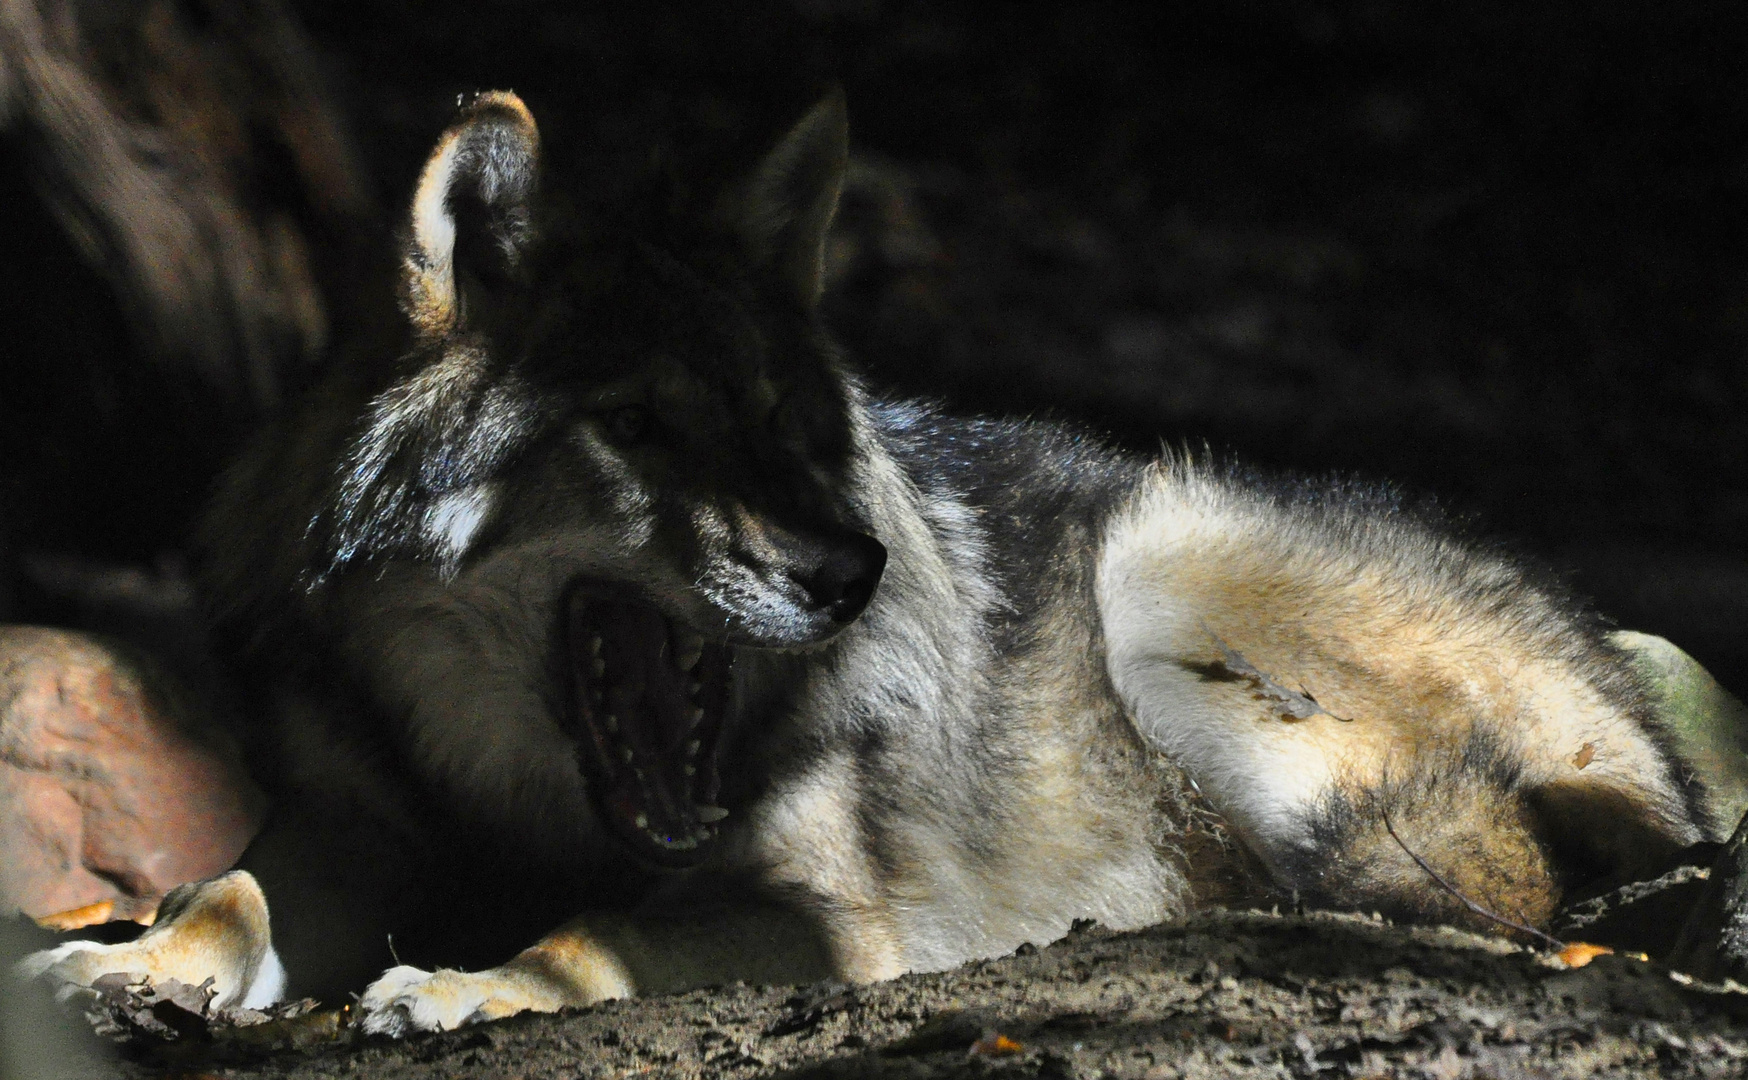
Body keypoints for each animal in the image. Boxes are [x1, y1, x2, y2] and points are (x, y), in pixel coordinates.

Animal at [20, 88, 1741, 1027]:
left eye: (786, 425)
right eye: (637, 428)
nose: (850, 573)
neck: (523, 795)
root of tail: (1633, 702)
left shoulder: (822, 919)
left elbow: (595, 931)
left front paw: (466, 982)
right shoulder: (352, 823)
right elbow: (230, 891)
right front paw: (126, 964)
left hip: (1155, 580)